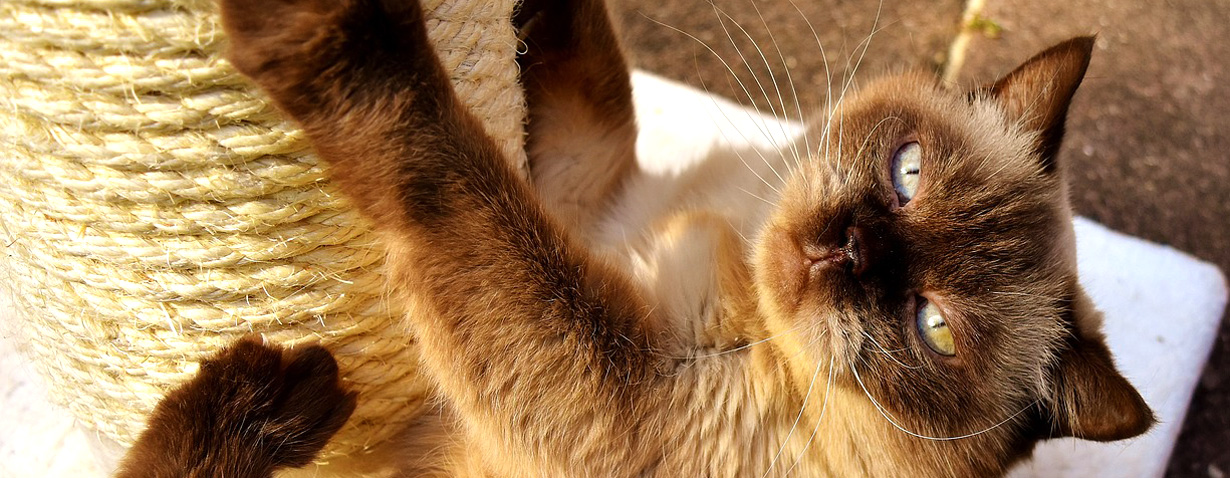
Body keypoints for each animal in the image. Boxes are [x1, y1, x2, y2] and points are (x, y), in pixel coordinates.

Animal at [113, 0, 1151, 471]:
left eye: (934, 329)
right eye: (908, 175)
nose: (846, 250)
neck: (733, 231)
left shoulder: (618, 388)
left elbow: (446, 170)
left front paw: (334, 39)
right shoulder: (585, 192)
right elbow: (589, 70)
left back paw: (280, 398)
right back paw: (265, 407)